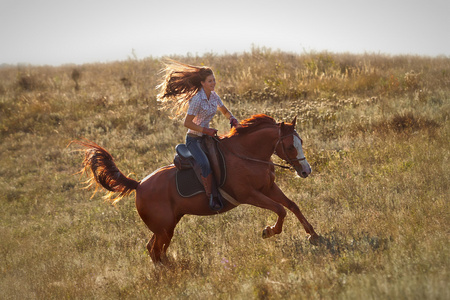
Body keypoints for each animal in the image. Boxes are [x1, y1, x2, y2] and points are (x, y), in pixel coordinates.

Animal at [73, 113, 320, 264]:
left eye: (300, 142)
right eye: (290, 146)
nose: (306, 170)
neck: (247, 154)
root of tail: (139, 185)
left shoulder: (268, 187)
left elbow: (292, 206)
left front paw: (314, 235)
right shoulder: (250, 194)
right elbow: (280, 210)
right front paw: (268, 231)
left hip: (166, 226)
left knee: (153, 249)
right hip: (165, 228)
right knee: (155, 250)